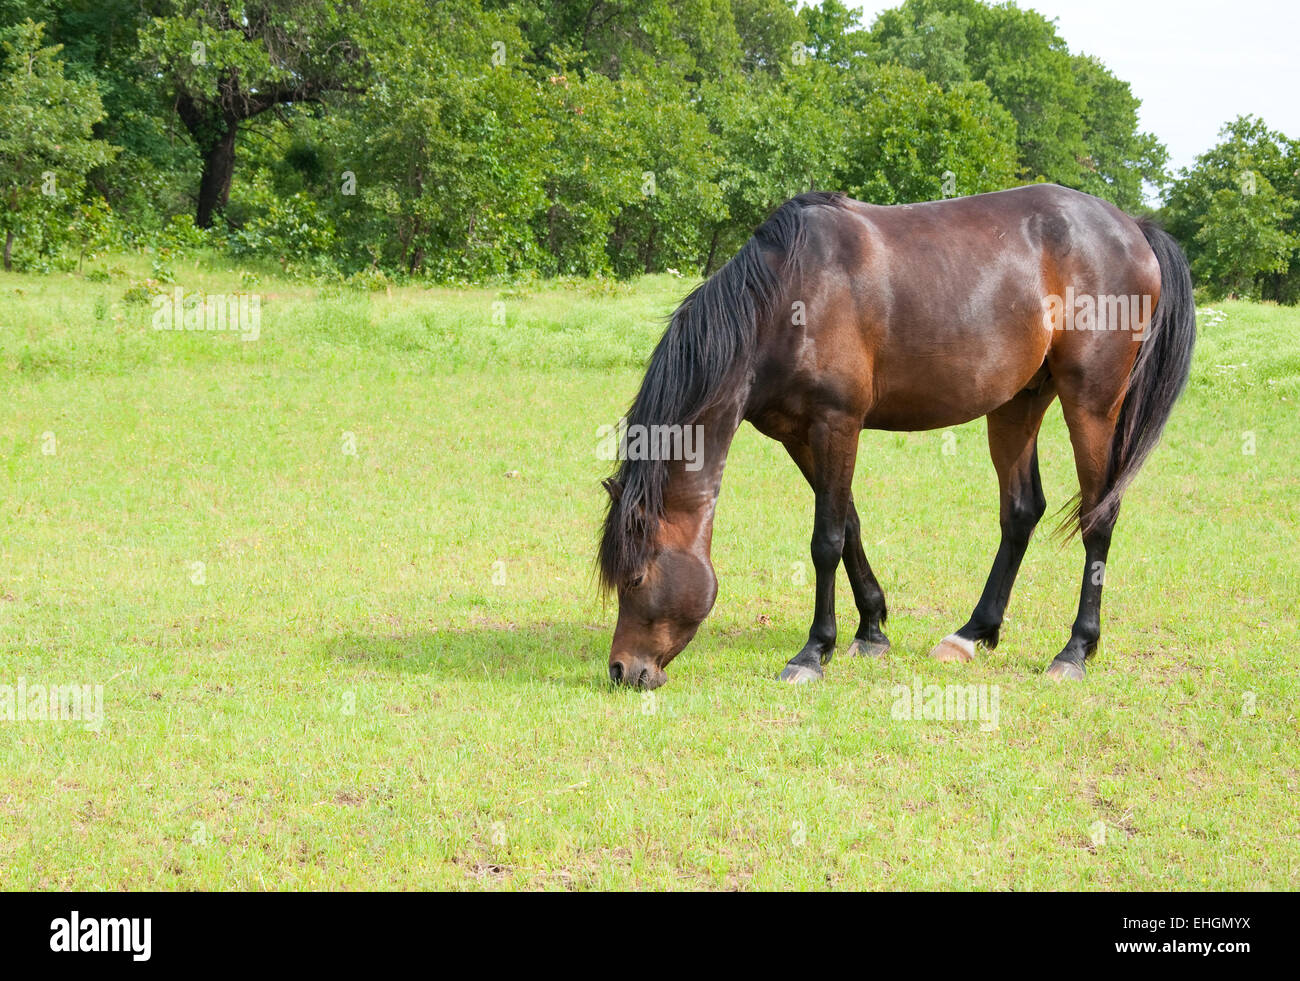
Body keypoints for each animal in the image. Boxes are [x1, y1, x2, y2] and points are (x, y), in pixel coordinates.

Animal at [598, 183, 1195, 689]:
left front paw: (814, 651)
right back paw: (972, 634)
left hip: (1091, 404)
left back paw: (1074, 650)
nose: (623, 670)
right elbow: (850, 525)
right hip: (1018, 402)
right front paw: (871, 629)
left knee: (1099, 517)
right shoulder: (798, 435)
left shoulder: (837, 423)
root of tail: (1134, 227)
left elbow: (825, 540)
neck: (786, 297)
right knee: (1022, 511)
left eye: (635, 578)